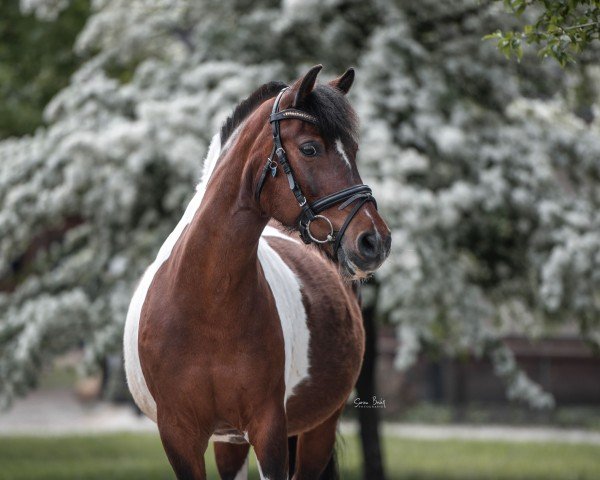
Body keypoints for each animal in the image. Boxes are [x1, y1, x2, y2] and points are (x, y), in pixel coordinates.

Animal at [124, 64, 392, 480]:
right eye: (310, 148)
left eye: (354, 151)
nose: (374, 240)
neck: (206, 301)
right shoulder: (180, 438)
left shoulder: (268, 430)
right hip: (230, 441)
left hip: (319, 428)